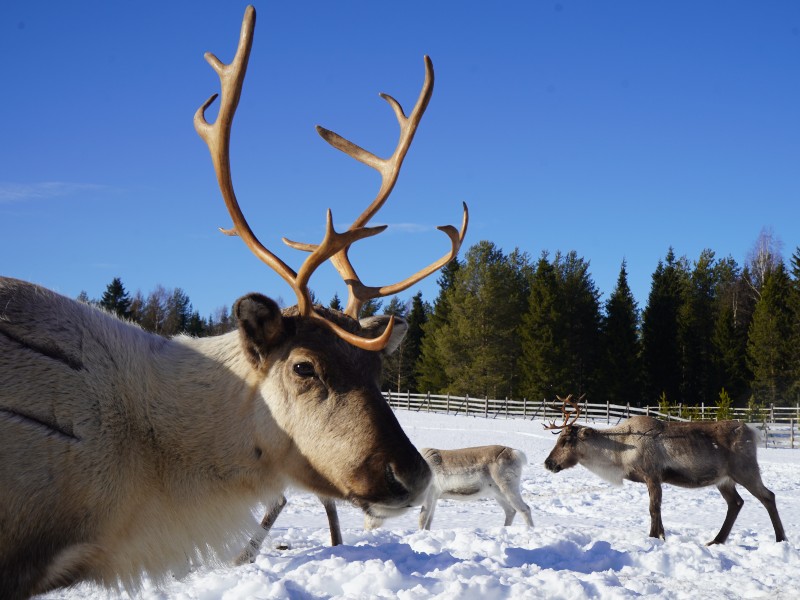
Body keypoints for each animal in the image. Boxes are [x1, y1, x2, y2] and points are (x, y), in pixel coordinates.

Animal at [543, 395, 787, 545]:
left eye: (566, 440)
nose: (548, 463)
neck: (620, 453)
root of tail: (753, 432)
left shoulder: (652, 475)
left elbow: (653, 508)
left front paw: (654, 536)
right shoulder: (655, 479)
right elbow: (657, 510)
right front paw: (661, 535)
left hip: (746, 470)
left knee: (768, 496)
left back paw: (781, 538)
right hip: (724, 480)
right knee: (736, 503)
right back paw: (716, 540)